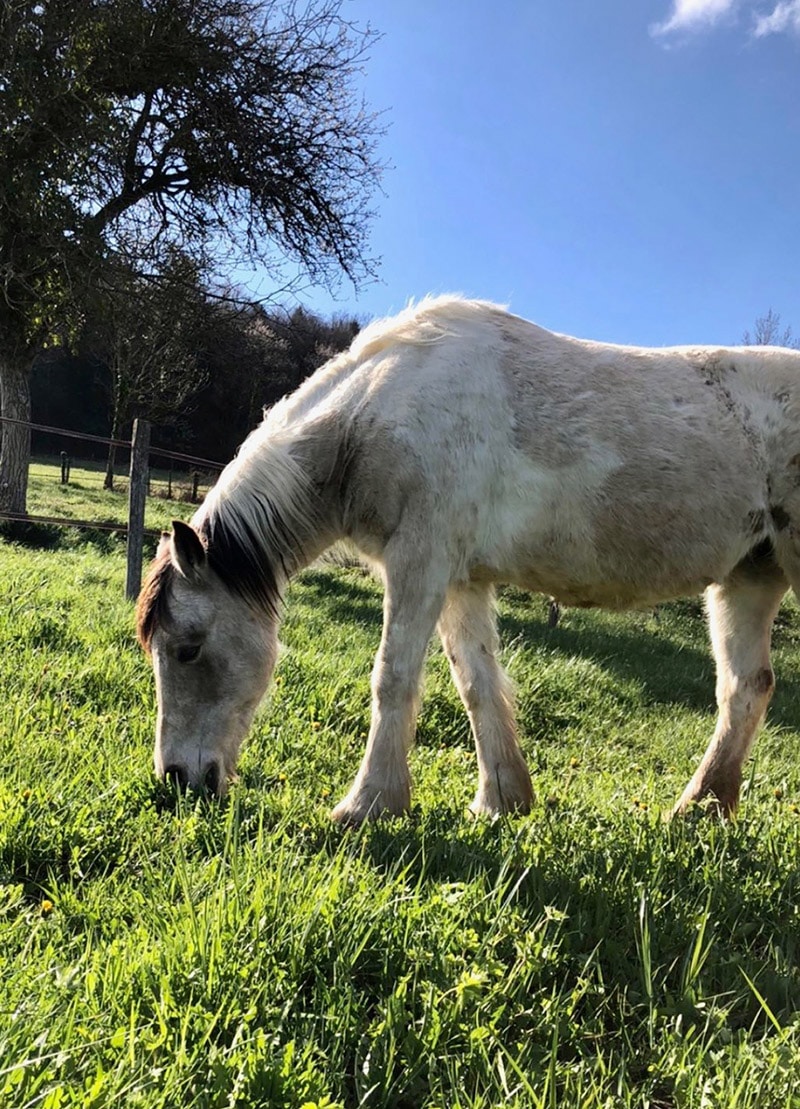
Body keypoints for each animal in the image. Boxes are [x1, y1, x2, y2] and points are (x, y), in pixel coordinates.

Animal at [135, 294, 798, 825]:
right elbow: (476, 681)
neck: (375, 411)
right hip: (749, 577)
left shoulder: (420, 564)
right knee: (746, 688)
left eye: (187, 649)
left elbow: (393, 676)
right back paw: (701, 810)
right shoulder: (461, 581)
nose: (178, 778)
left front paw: (368, 804)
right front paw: (501, 801)